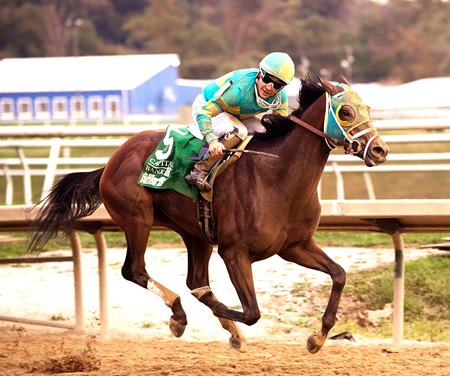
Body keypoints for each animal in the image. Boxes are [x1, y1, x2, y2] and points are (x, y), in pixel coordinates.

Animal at [29, 76, 386, 352]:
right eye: (346, 111)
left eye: (368, 109)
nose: (381, 150)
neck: (277, 177)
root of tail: (110, 162)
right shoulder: (234, 252)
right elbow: (251, 311)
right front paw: (225, 318)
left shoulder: (294, 246)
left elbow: (339, 274)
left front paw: (318, 337)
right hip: (137, 219)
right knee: (136, 271)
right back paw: (179, 315)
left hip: (194, 233)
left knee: (195, 281)